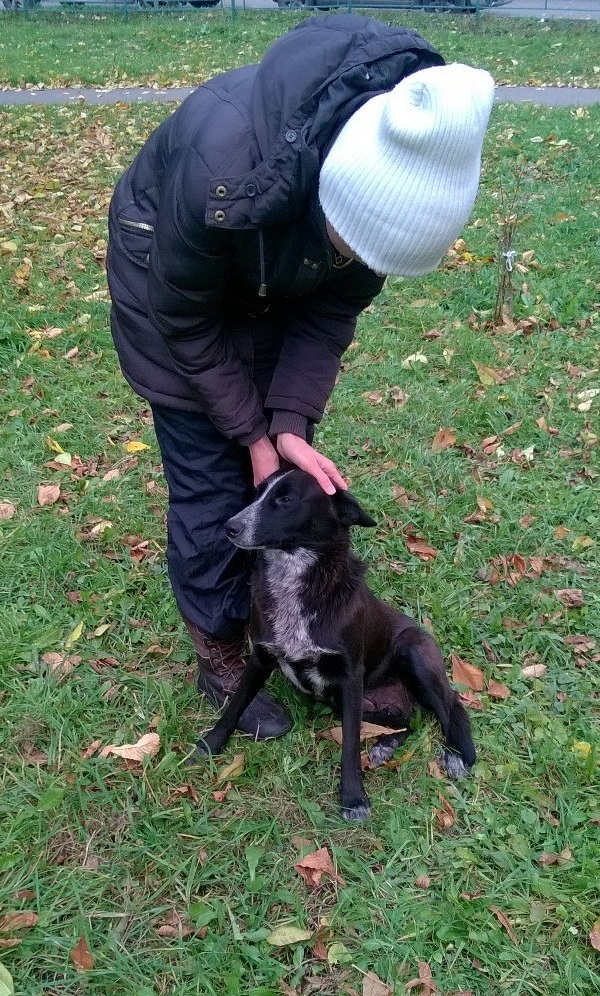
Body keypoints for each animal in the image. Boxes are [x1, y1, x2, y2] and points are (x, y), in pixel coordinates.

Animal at [199, 470, 476, 820]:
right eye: (257, 492)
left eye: (285, 500)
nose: (230, 526)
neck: (298, 581)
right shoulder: (260, 658)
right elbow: (234, 706)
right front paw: (211, 744)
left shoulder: (350, 676)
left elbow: (350, 746)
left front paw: (353, 797)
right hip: (361, 705)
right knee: (405, 723)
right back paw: (385, 745)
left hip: (412, 654)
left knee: (452, 707)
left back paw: (456, 756)